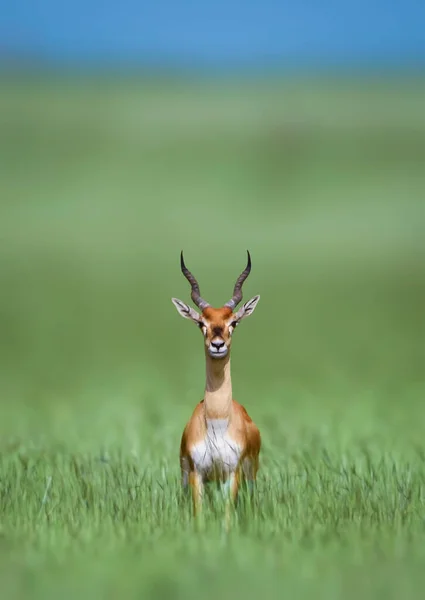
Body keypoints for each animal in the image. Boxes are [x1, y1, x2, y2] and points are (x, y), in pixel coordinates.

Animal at [171, 251, 260, 516]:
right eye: (202, 323)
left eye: (233, 322)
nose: (218, 345)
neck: (218, 422)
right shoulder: (196, 474)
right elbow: (199, 514)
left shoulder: (232, 474)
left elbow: (228, 515)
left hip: (249, 475)